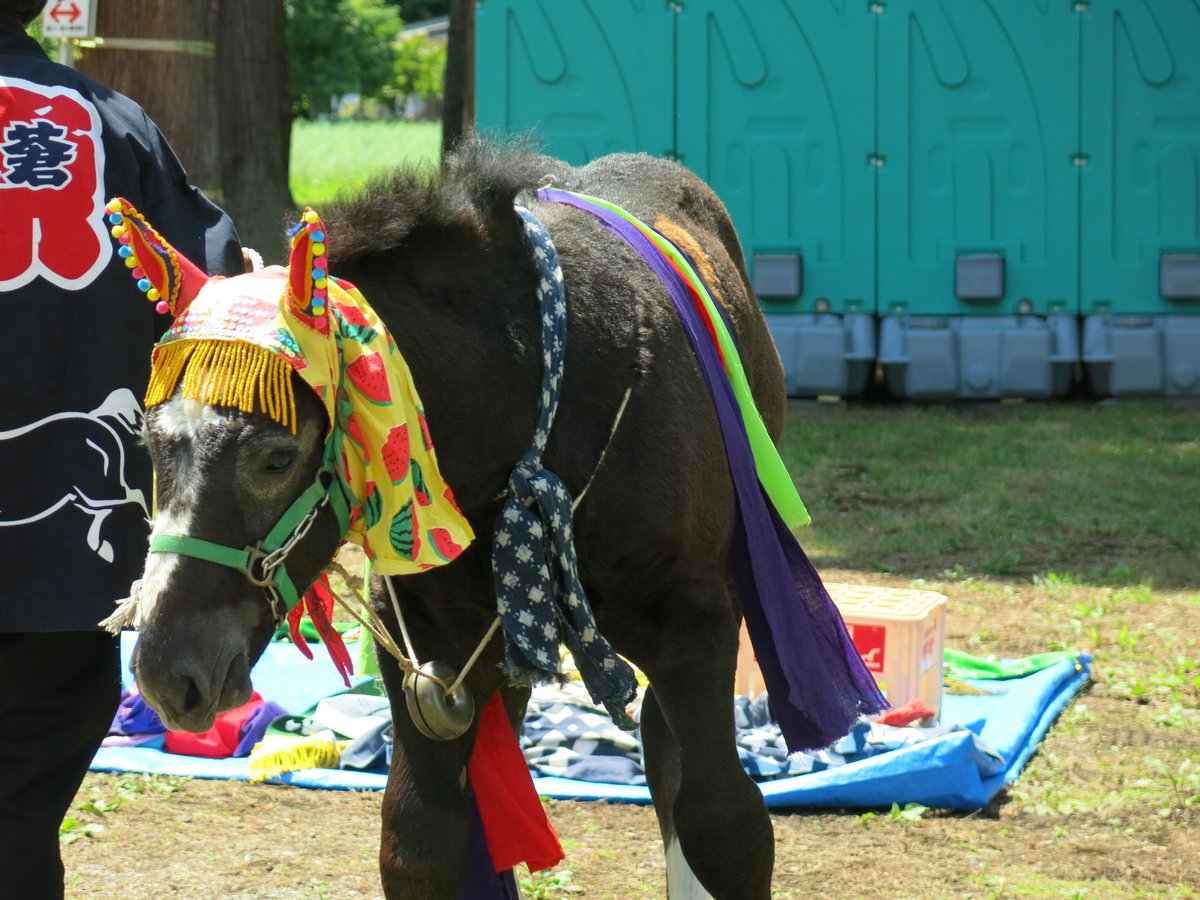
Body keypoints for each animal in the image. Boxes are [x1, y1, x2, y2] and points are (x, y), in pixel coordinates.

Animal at [116, 140, 879, 899]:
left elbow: (726, 826)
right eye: (149, 439)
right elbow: (421, 838)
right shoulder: (433, 650)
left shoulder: (697, 626)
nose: (164, 668)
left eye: (276, 458)